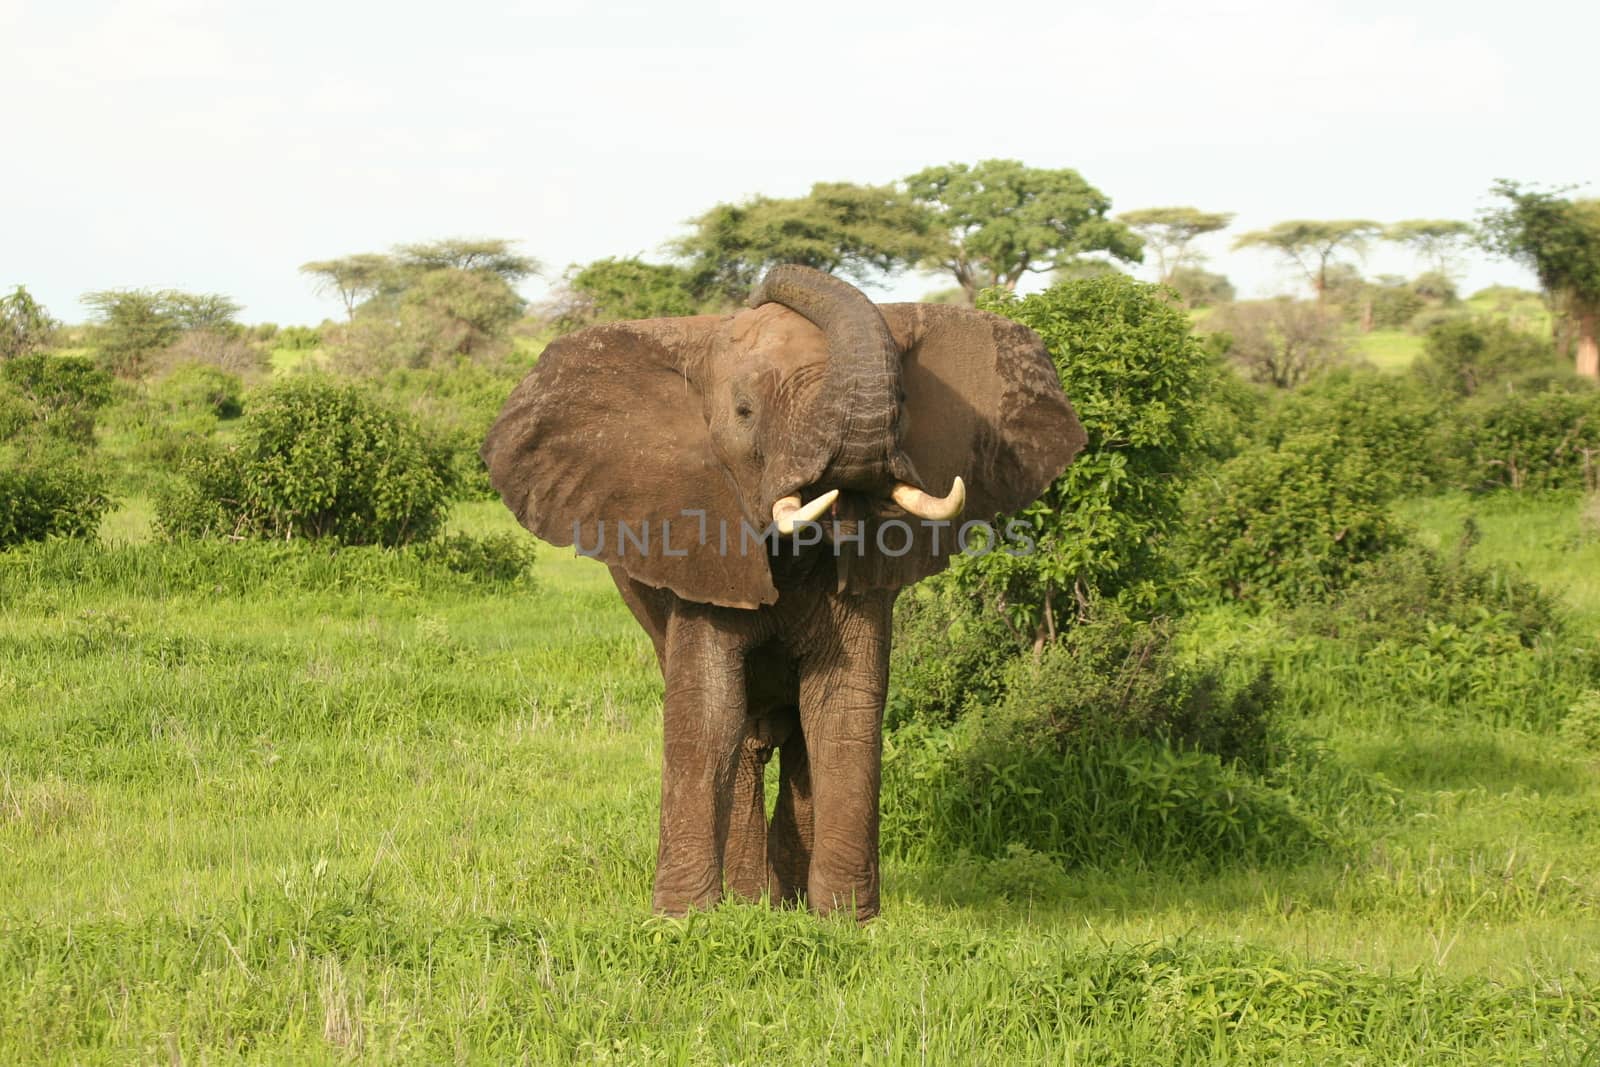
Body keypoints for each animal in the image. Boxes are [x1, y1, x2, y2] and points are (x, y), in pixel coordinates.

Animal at [480, 265, 1081, 921]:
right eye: (744, 412)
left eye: (903, 406)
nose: (769, 276)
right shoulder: (701, 543)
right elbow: (709, 712)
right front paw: (683, 921)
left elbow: (843, 709)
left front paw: (845, 922)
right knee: (745, 736)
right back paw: (750, 904)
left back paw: (784, 903)